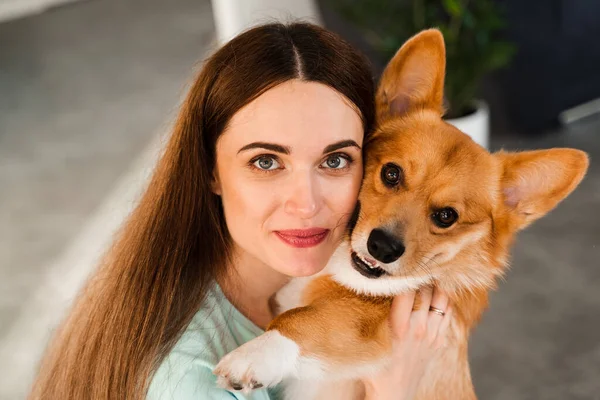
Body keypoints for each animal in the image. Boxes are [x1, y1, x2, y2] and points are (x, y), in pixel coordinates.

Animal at [213, 28, 588, 400]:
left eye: (447, 216)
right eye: (391, 173)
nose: (382, 247)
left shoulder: (373, 320)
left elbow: (308, 318)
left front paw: (254, 355)